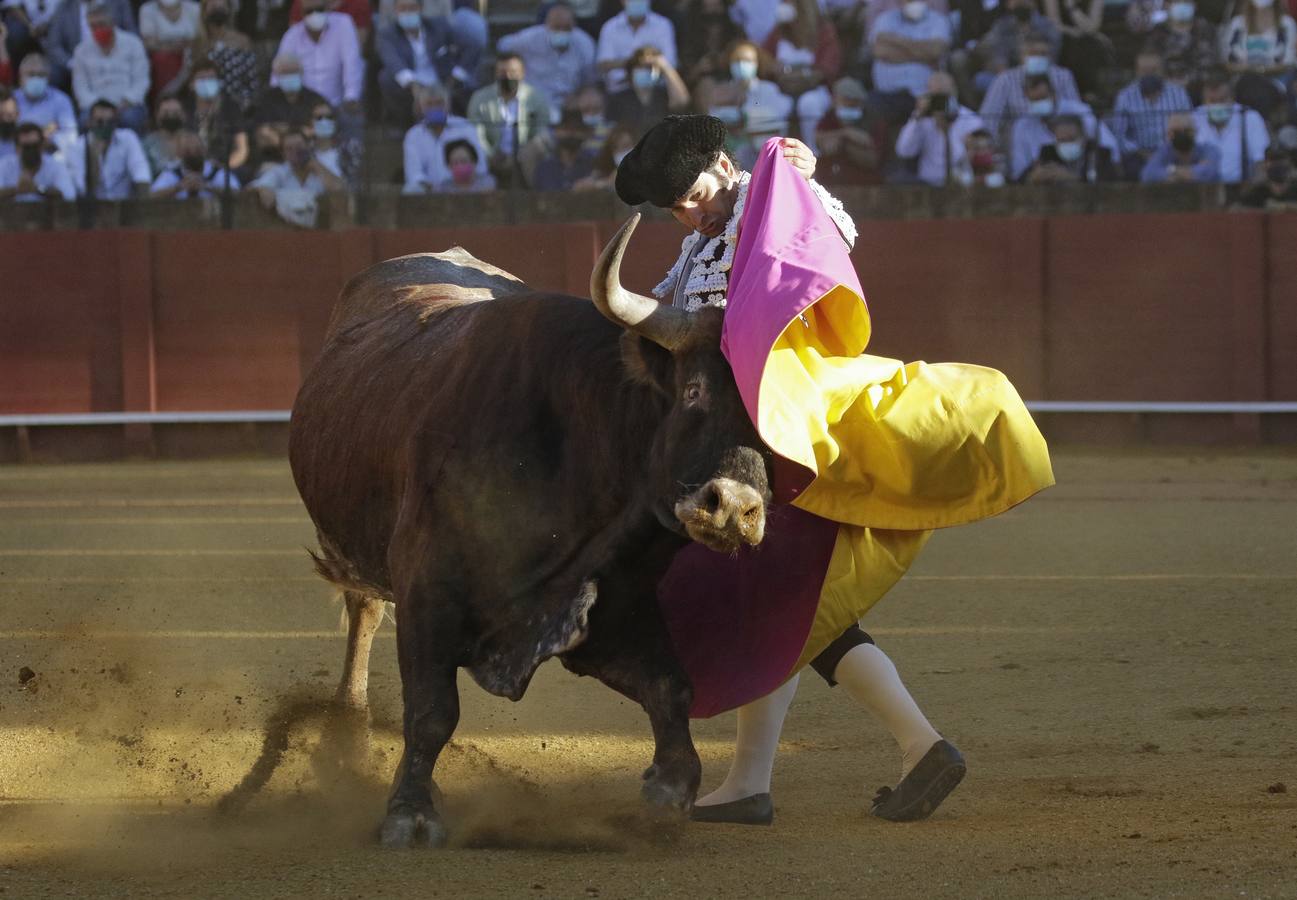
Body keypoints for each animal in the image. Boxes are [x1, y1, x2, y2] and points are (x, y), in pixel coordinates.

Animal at [293, 216, 773, 845]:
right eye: (694, 391)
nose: (735, 509)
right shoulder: (428, 592)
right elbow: (431, 711)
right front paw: (411, 814)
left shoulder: (610, 607)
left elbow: (671, 686)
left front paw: (669, 789)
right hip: (353, 548)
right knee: (365, 610)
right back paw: (349, 743)